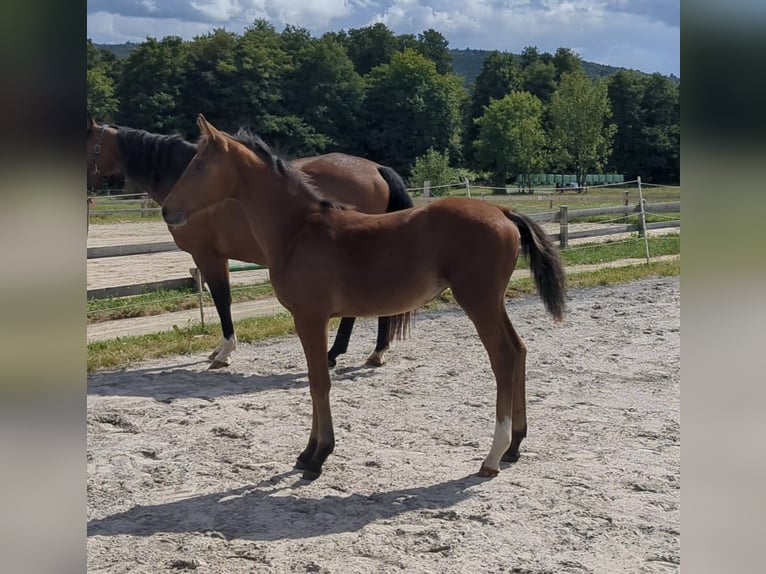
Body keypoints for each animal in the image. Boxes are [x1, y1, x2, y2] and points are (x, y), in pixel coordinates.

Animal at [86, 116, 413, 369]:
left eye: (86, 145)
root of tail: (377, 169)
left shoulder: (208, 256)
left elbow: (222, 300)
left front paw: (225, 352)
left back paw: (339, 353)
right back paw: (375, 351)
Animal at [162, 114, 567, 480]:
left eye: (199, 165)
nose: (167, 210)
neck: (298, 230)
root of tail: (502, 211)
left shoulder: (309, 317)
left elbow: (319, 381)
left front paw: (318, 456)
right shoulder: (309, 318)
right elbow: (314, 380)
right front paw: (307, 453)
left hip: (479, 301)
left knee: (503, 358)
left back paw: (493, 455)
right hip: (493, 302)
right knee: (519, 350)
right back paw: (515, 444)